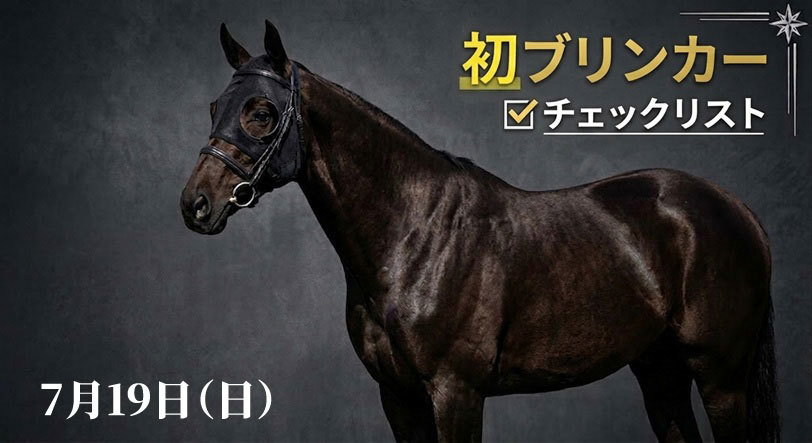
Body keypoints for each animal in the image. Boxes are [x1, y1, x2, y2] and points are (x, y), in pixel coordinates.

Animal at [180, 21, 778, 442]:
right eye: (214, 107)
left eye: (261, 112)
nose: (196, 205)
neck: (414, 237)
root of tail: (736, 207)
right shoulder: (398, 398)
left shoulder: (456, 392)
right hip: (660, 372)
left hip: (721, 377)